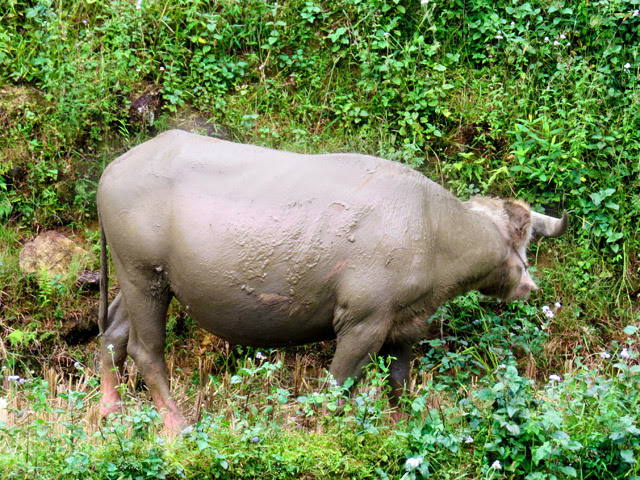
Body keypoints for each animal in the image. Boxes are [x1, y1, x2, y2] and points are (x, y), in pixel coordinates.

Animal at [97, 128, 568, 432]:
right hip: (146, 277)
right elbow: (337, 389)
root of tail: (111, 171)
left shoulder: (405, 327)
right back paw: (177, 427)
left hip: (134, 280)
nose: (531, 286)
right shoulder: (362, 323)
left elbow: (399, 384)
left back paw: (107, 413)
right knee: (145, 350)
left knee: (112, 334)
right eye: (524, 240)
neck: (432, 230)